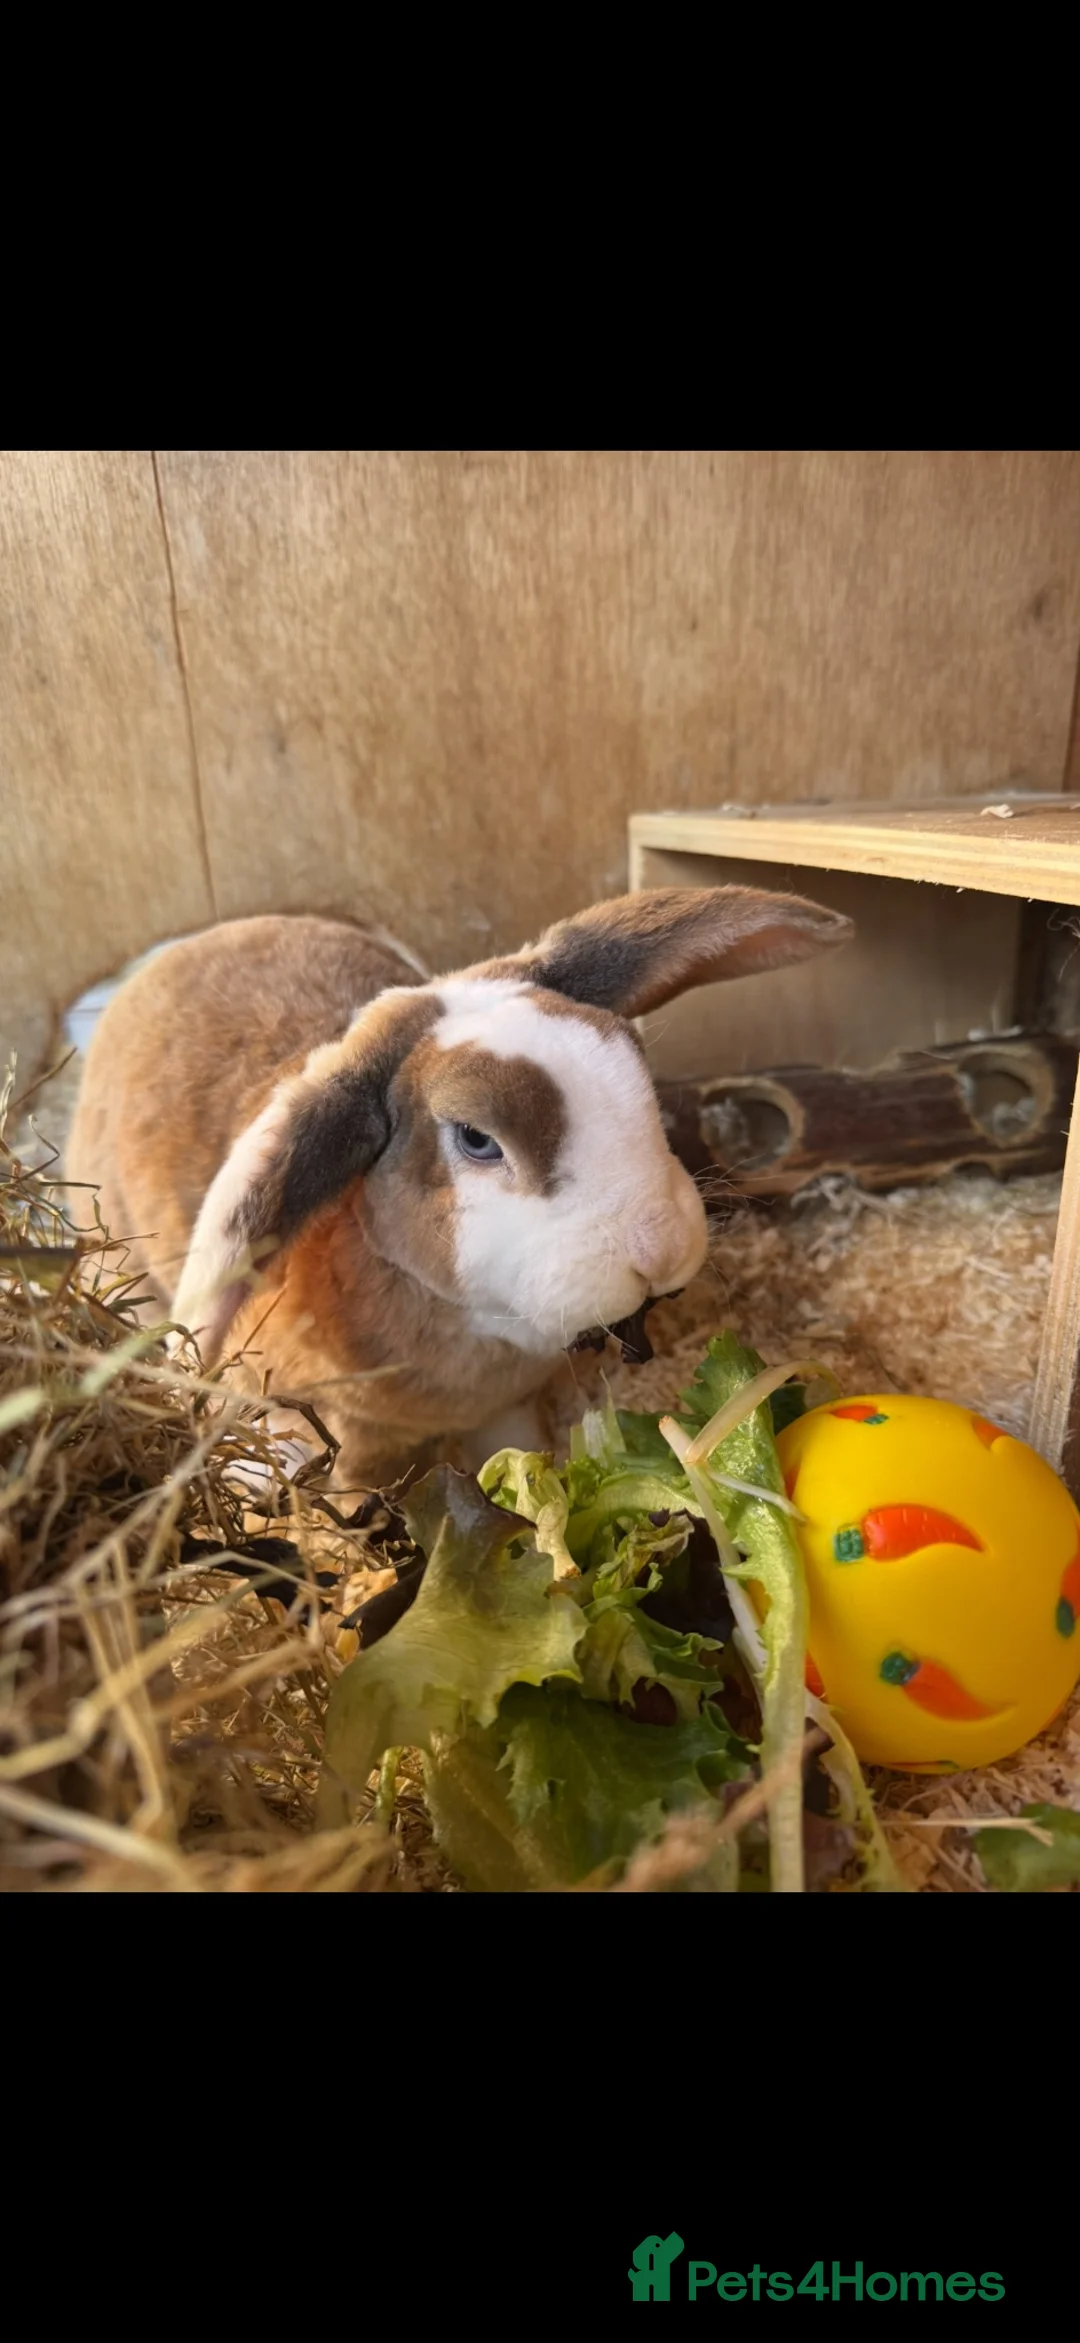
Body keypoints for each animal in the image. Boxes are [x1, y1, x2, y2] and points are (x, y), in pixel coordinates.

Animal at [65, 887, 852, 1490]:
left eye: (632, 1059)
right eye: (476, 1138)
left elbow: (515, 1460)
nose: (660, 1249)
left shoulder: (503, 1412)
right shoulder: (333, 1433)